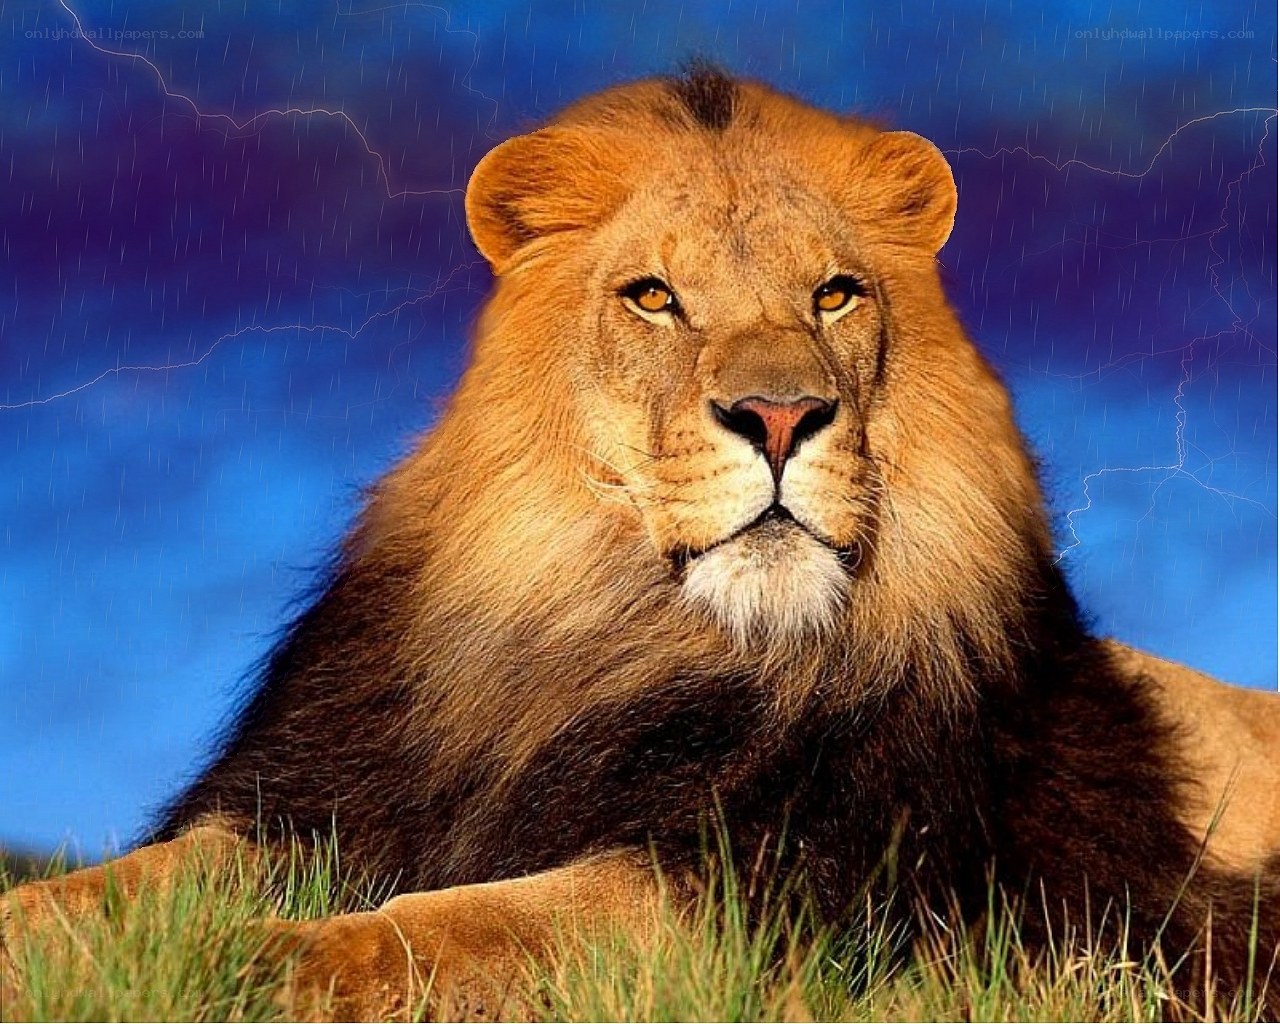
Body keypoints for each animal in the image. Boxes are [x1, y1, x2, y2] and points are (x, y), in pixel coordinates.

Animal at [4, 66, 1279, 1019]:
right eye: (653, 295)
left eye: (834, 294)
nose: (779, 415)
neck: (615, 634)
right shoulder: (320, 801)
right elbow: (123, 887)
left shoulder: (785, 890)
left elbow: (454, 930)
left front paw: (251, 965)